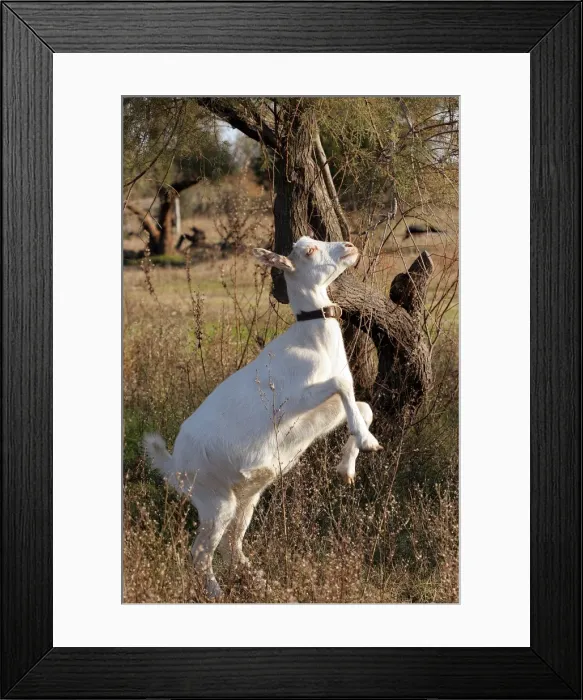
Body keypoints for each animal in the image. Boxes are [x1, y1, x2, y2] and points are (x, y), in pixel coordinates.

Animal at [144, 236, 382, 598]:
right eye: (309, 250)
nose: (349, 246)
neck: (314, 343)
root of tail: (174, 467)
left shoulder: (321, 412)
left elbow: (363, 406)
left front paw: (348, 466)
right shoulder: (289, 402)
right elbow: (343, 386)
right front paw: (367, 444)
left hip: (244, 499)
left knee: (231, 545)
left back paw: (265, 584)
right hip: (214, 500)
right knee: (201, 552)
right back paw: (217, 593)